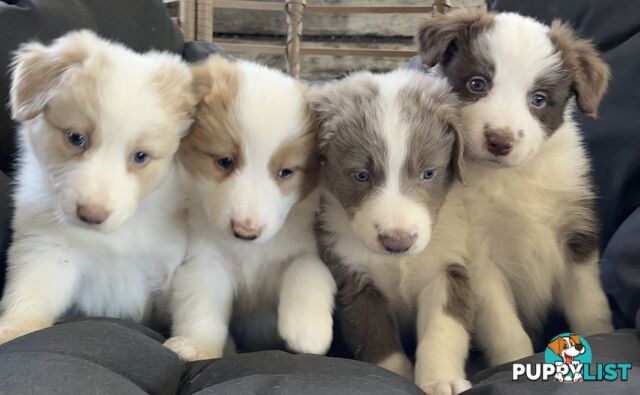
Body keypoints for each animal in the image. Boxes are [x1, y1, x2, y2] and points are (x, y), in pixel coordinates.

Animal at [0, 30, 195, 344]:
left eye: (140, 156)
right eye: (76, 138)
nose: (92, 215)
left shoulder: (170, 268)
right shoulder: (46, 250)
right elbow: (30, 295)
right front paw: (11, 331)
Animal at [162, 55, 338, 362]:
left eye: (285, 172)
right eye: (224, 161)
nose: (246, 231)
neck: (249, 252)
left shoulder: (305, 247)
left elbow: (306, 268)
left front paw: (308, 332)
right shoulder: (206, 260)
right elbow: (201, 305)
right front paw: (198, 346)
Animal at [312, 70, 472, 395]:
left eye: (428, 173)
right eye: (361, 175)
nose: (397, 242)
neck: (399, 263)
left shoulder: (446, 267)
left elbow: (442, 329)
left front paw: (441, 380)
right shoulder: (354, 279)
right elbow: (377, 335)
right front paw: (396, 377)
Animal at [420, 9, 616, 368]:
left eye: (538, 99)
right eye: (477, 84)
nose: (499, 140)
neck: (512, 177)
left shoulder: (577, 237)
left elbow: (589, 305)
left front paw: (599, 338)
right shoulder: (479, 256)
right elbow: (505, 329)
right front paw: (514, 364)